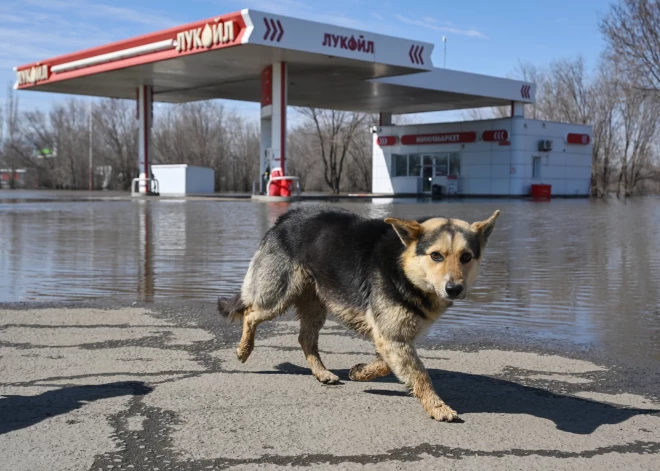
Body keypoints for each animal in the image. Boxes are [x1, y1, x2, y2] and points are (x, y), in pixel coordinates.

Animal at [218, 206, 500, 424]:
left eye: (466, 257)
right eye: (436, 256)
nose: (454, 289)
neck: (403, 266)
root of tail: (287, 217)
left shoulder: (391, 337)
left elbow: (387, 364)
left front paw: (361, 372)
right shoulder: (391, 336)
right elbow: (420, 374)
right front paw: (437, 406)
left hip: (315, 303)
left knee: (305, 339)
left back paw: (322, 373)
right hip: (278, 296)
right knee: (250, 313)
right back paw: (243, 350)